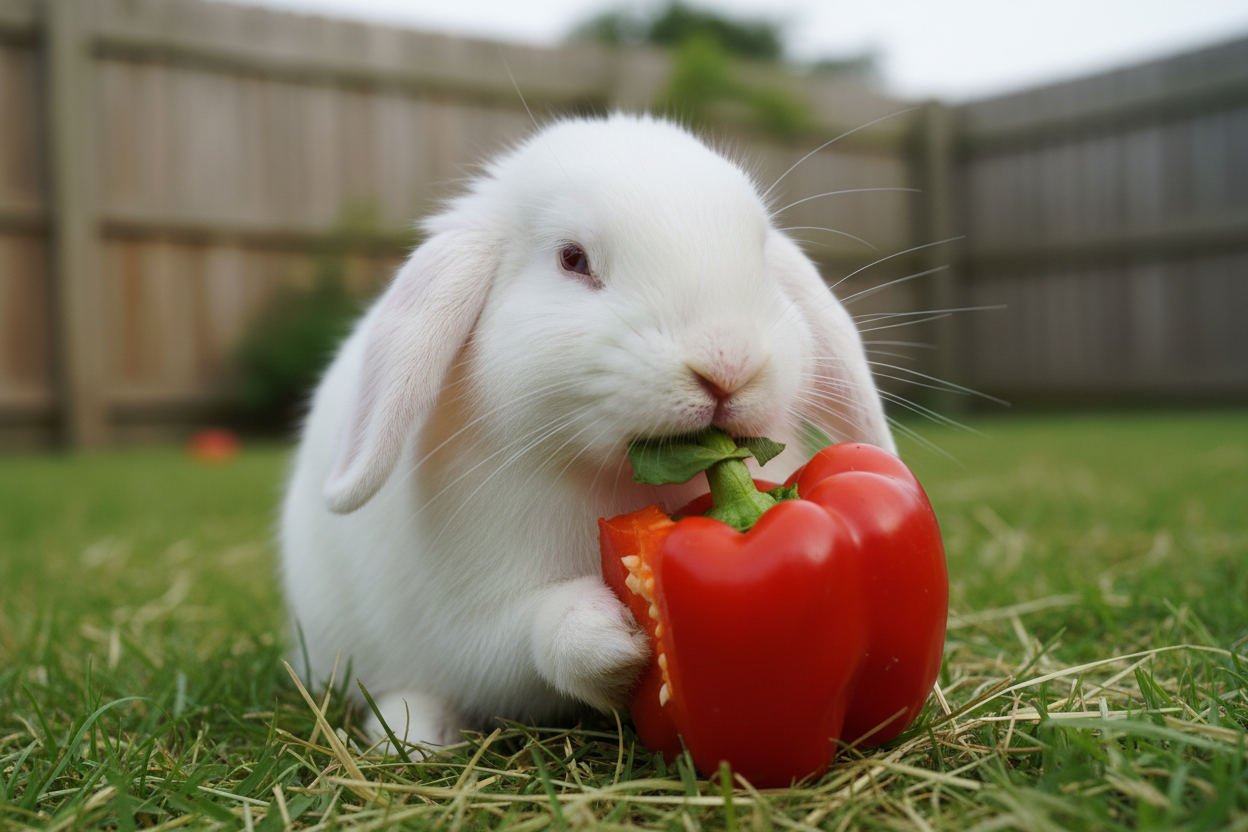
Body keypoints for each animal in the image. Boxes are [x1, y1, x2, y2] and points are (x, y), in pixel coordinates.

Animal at [279, 112, 896, 749]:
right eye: (572, 259)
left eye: (762, 257)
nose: (728, 365)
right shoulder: (467, 628)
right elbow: (525, 641)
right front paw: (613, 637)